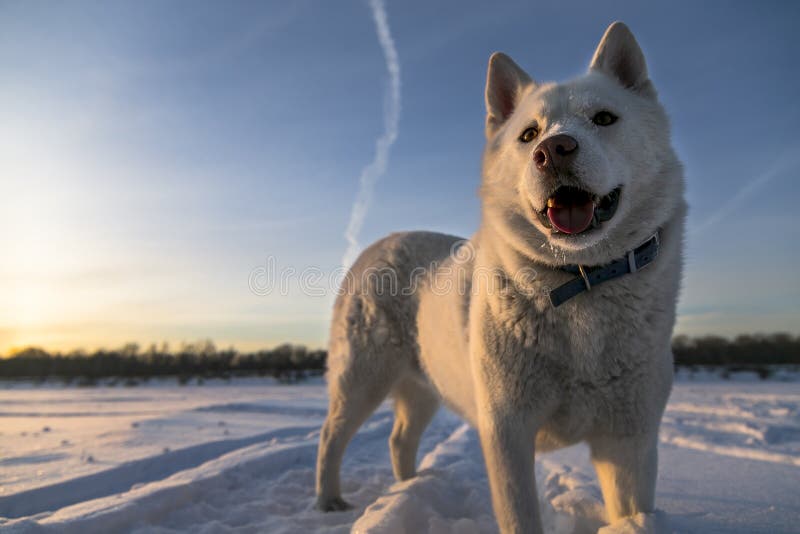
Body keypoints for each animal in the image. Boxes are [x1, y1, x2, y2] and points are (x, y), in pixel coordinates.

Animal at [316, 22, 684, 534]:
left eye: (604, 118)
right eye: (529, 135)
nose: (554, 150)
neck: (580, 279)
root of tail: (380, 243)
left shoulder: (629, 439)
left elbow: (632, 511)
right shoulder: (508, 432)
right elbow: (520, 515)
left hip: (423, 386)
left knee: (399, 438)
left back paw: (407, 486)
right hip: (362, 377)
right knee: (330, 436)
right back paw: (329, 500)